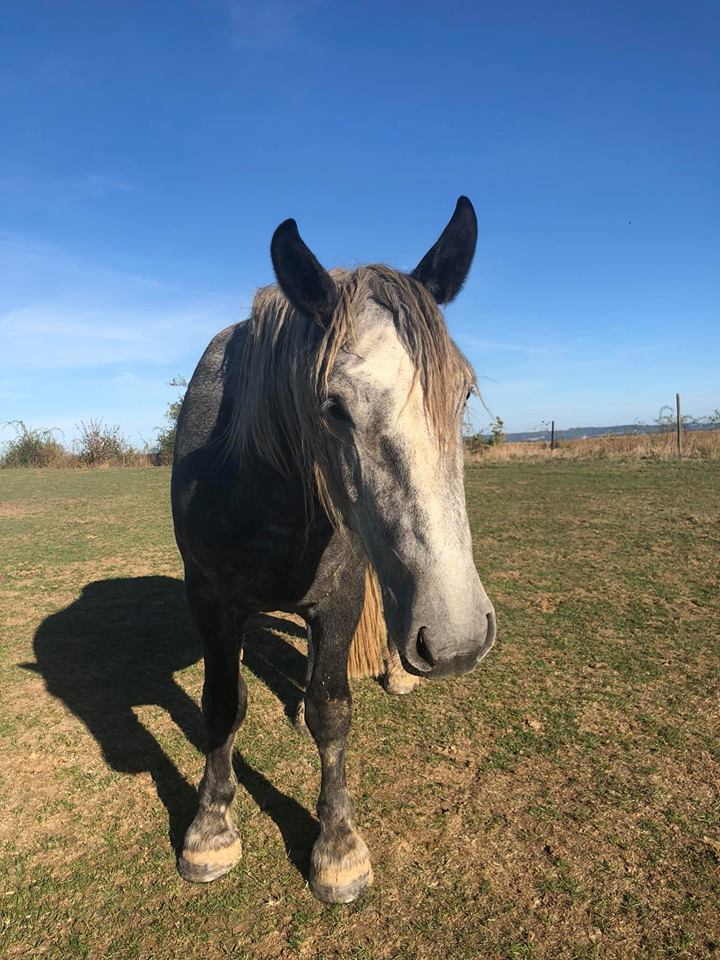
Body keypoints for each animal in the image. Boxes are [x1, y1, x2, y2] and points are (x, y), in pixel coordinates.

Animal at [170, 195, 496, 900]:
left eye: (463, 392)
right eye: (333, 407)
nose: (458, 638)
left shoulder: (340, 598)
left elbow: (332, 711)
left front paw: (338, 845)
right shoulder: (209, 602)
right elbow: (221, 705)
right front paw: (210, 829)